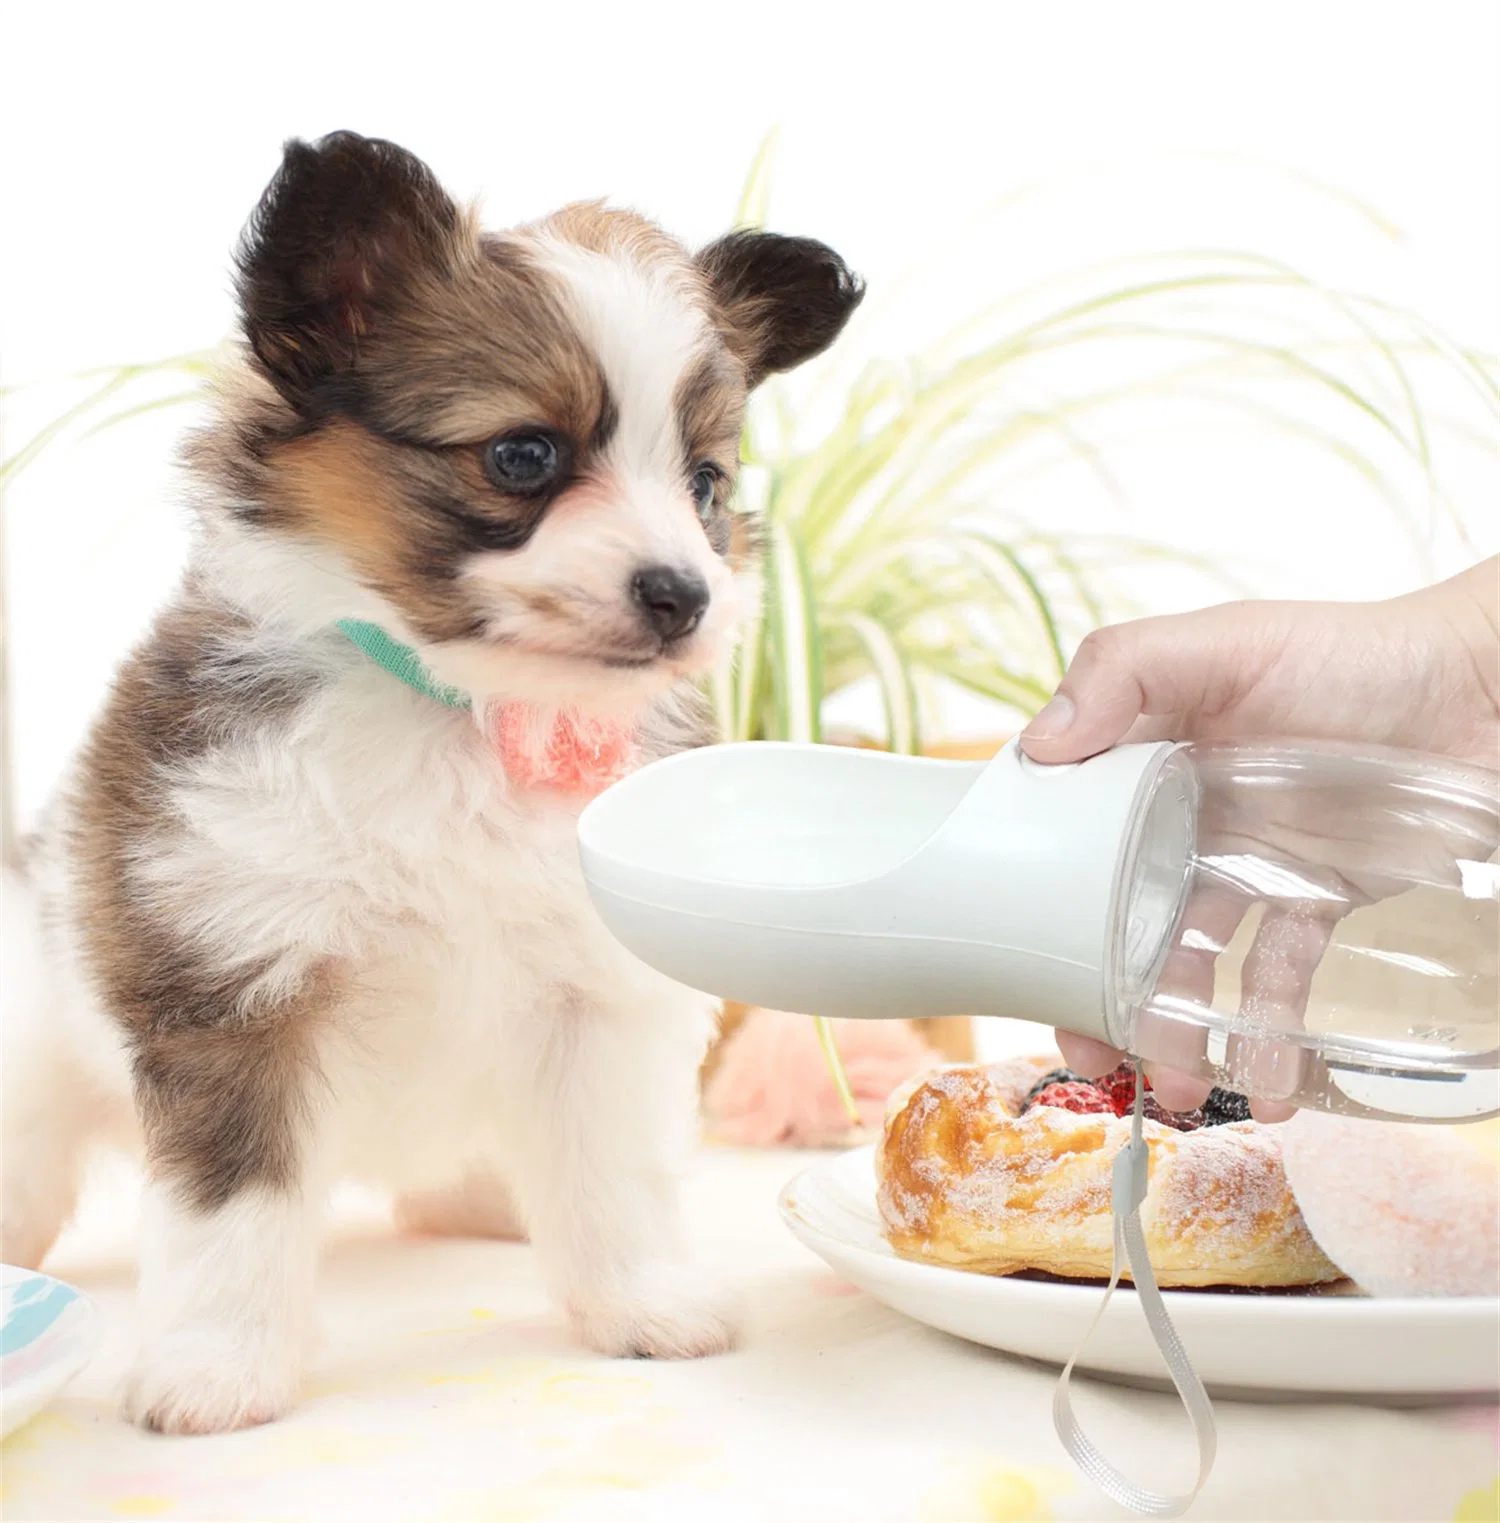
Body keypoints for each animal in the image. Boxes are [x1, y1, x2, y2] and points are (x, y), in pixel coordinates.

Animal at [0, 127, 858, 1425]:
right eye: (524, 454)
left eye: (706, 484)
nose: (684, 594)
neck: (465, 713)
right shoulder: (231, 993)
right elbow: (230, 1214)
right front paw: (214, 1368)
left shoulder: (598, 996)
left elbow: (613, 1172)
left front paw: (644, 1305)